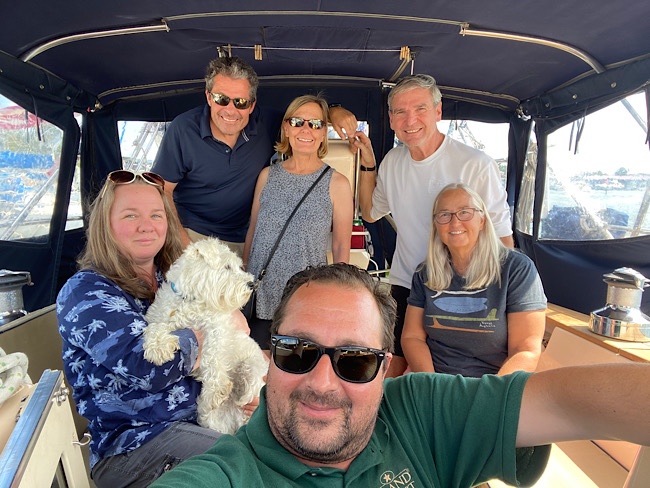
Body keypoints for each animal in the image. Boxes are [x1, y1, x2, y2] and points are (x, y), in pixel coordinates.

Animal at [143, 237, 268, 435]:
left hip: (253, 365)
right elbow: (155, 328)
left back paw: (238, 396)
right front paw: (158, 348)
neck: (190, 300)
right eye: (227, 266)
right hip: (211, 419)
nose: (252, 285)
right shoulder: (161, 317)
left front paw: (217, 389)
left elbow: (212, 355)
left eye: (238, 266)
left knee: (252, 387)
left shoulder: (217, 329)